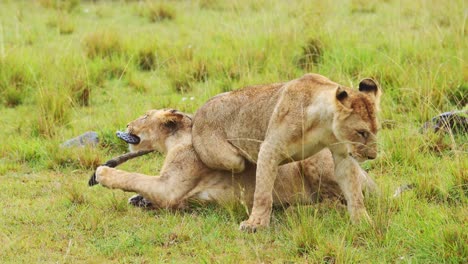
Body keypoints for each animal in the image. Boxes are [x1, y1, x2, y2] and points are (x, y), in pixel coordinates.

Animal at [90, 108, 376, 213]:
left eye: (145, 115)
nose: (127, 124)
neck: (175, 141)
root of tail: (368, 177)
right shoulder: (176, 195)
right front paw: (139, 200)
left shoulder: (170, 188)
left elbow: (134, 177)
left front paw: (101, 173)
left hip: (316, 161)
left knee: (338, 201)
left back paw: (297, 208)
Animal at [192, 73, 382, 230]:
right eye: (361, 132)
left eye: (376, 130)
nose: (372, 156)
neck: (324, 125)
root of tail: (197, 112)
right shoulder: (269, 148)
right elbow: (262, 193)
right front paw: (255, 224)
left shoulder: (343, 154)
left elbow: (354, 192)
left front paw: (363, 222)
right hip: (229, 159)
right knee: (239, 161)